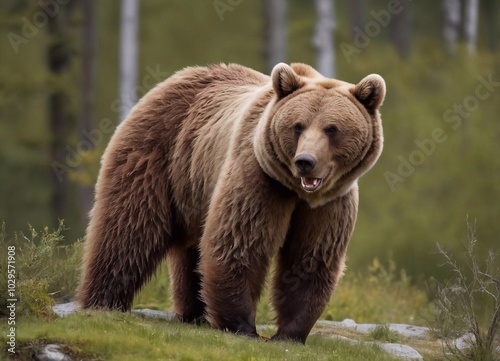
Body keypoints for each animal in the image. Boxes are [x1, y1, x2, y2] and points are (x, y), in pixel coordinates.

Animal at [76, 62, 384, 344]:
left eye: (332, 128)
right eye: (298, 126)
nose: (305, 161)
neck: (296, 190)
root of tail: (172, 80)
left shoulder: (328, 205)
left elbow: (310, 257)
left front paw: (290, 333)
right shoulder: (258, 177)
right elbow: (240, 241)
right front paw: (242, 326)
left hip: (194, 186)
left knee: (191, 250)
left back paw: (194, 313)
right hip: (159, 153)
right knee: (129, 227)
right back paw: (104, 301)